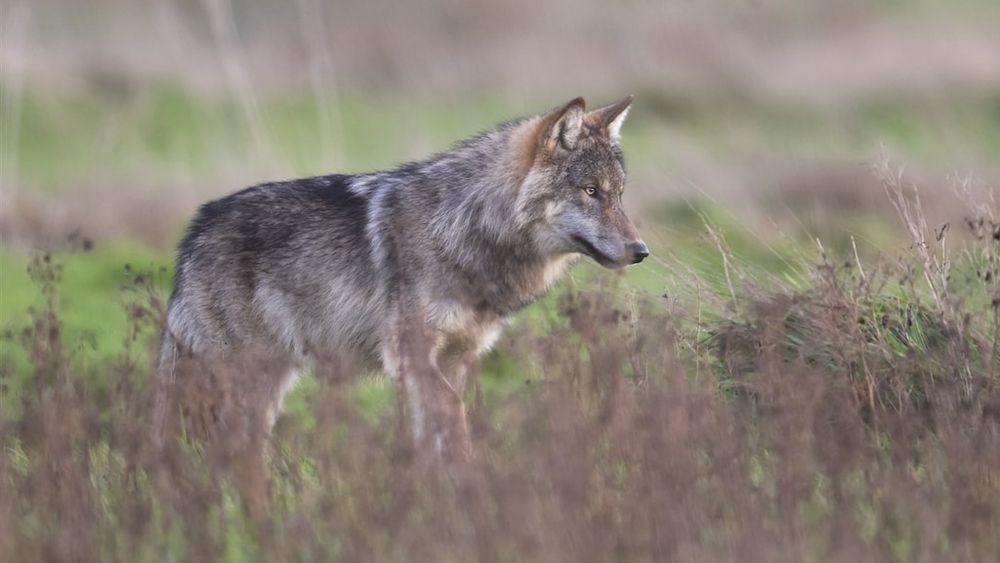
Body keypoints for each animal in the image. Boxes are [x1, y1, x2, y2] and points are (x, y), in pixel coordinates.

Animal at [151, 94, 644, 460]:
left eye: (619, 195)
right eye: (591, 192)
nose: (641, 252)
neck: (464, 227)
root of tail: (195, 231)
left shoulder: (455, 359)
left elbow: (431, 439)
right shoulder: (411, 355)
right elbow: (454, 419)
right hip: (245, 380)